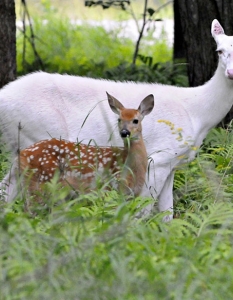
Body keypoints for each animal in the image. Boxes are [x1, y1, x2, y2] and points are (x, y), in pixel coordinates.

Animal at [16, 92, 155, 199]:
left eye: (135, 120)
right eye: (119, 119)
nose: (124, 132)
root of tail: (23, 153)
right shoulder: (113, 188)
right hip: (44, 180)